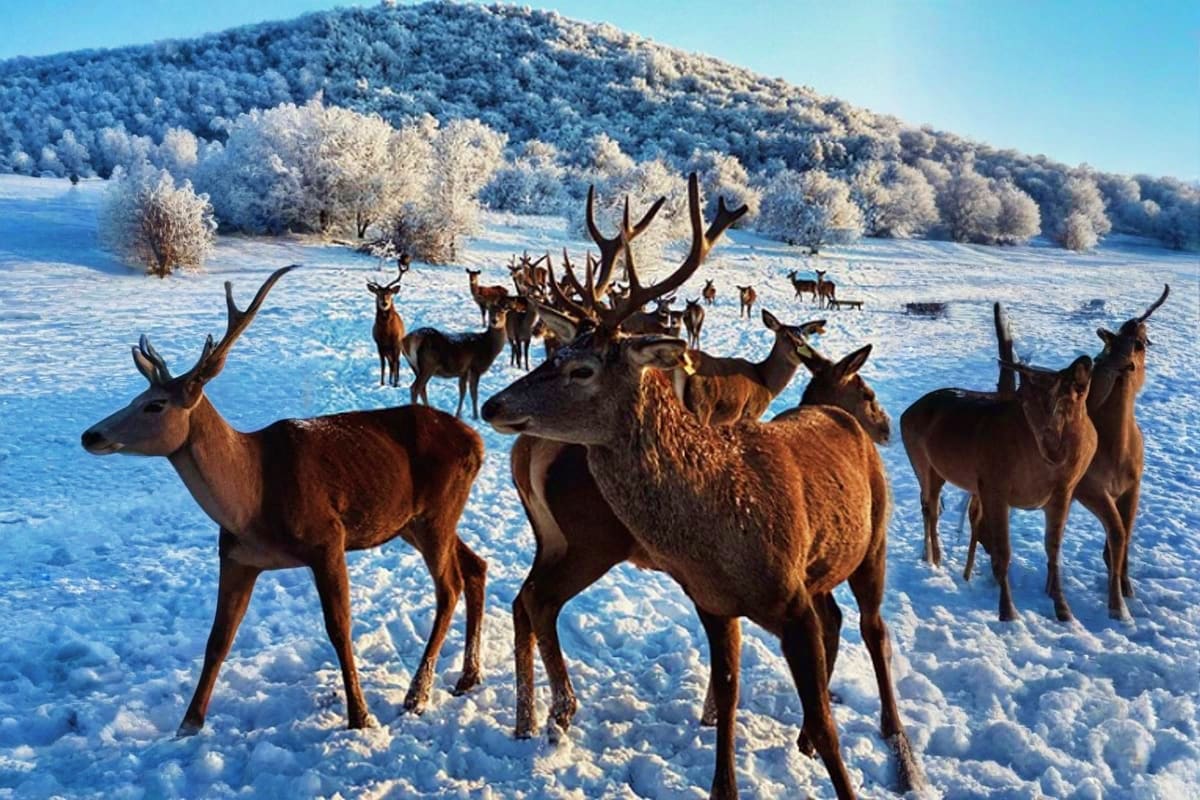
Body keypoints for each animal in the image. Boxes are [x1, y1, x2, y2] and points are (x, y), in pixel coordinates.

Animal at [79, 266, 489, 733]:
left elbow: (338, 628)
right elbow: (218, 638)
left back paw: (416, 694)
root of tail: (476, 441)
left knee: (449, 586)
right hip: (415, 521)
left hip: (437, 512)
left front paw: (360, 715)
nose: (91, 435)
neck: (252, 500)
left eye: (155, 405)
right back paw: (467, 676)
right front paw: (189, 723)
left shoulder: (328, 539)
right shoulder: (236, 556)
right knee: (476, 566)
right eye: (135, 398)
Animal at [673, 309, 825, 426]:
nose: (803, 349)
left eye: (805, 336)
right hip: (701, 404)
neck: (766, 384)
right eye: (784, 335)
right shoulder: (749, 413)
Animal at [901, 303, 1098, 622]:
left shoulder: (1065, 490)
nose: (1053, 451)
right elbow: (1003, 552)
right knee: (930, 508)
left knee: (937, 507)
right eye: (1024, 401)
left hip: (943, 472)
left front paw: (1064, 610)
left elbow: (1053, 549)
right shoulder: (994, 483)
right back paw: (934, 559)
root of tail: (906, 413)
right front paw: (1008, 612)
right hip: (920, 460)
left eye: (1067, 400)